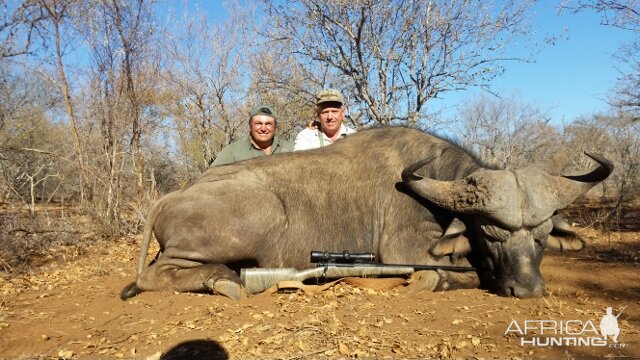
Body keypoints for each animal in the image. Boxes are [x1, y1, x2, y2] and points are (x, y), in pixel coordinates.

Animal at [121, 127, 616, 300]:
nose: (528, 291)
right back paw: (224, 281)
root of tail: (173, 196)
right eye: (492, 233)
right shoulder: (408, 251)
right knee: (153, 275)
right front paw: (434, 281)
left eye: (542, 234)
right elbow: (458, 273)